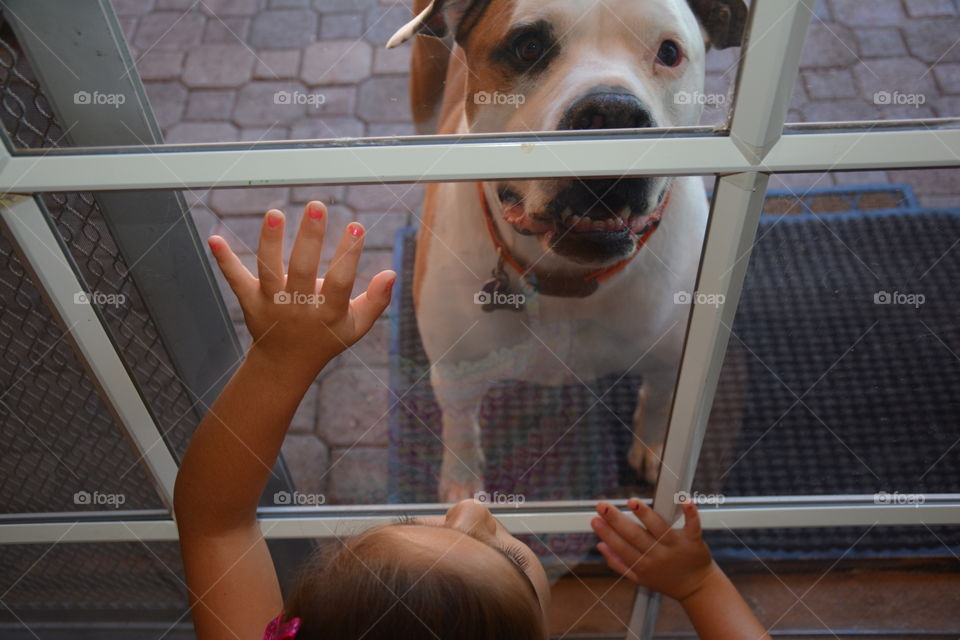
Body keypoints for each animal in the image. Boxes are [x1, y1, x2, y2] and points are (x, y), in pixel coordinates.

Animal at [386, 0, 748, 500]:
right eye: (528, 47)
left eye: (669, 52)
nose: (613, 113)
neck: (568, 281)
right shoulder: (458, 372)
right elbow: (460, 429)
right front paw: (461, 487)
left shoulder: (671, 355)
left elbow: (659, 402)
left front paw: (653, 448)